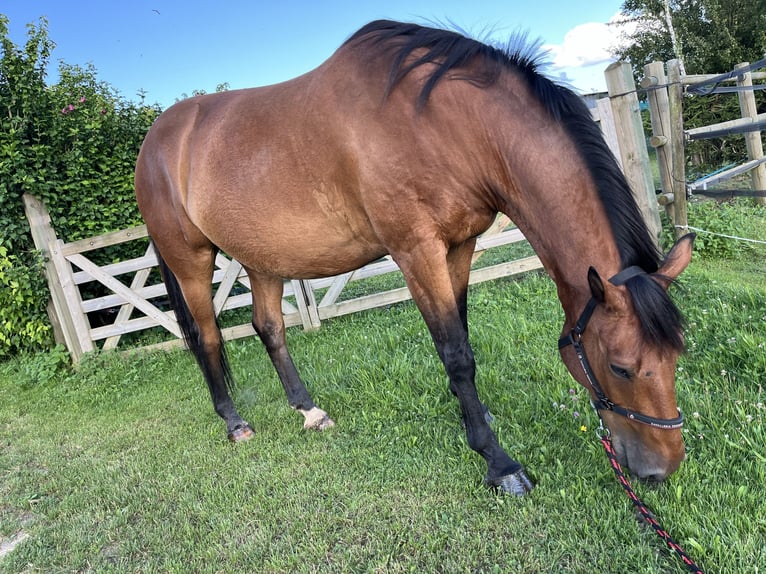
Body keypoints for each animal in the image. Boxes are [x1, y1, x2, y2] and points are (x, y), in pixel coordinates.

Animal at [136, 20, 696, 498]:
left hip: (262, 259)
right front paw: (498, 462)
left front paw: (476, 416)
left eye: (676, 355)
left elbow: (461, 335)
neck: (448, 125)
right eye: (621, 368)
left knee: (269, 327)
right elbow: (455, 352)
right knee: (208, 337)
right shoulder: (415, 251)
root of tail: (156, 140)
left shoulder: (461, 244)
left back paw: (310, 411)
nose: (662, 469)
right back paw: (235, 424)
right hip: (191, 260)